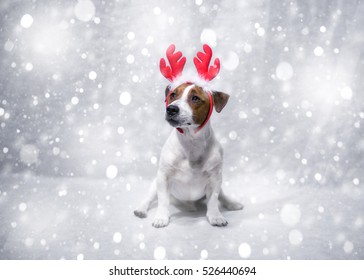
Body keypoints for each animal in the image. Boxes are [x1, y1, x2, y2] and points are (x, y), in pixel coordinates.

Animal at [132, 44, 243, 228]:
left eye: (195, 98)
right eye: (173, 95)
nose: (171, 109)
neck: (191, 143)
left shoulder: (215, 178)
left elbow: (213, 200)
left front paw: (215, 216)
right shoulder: (163, 177)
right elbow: (163, 200)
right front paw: (161, 217)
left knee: (221, 195)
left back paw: (232, 203)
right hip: (154, 183)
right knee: (149, 197)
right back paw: (141, 209)